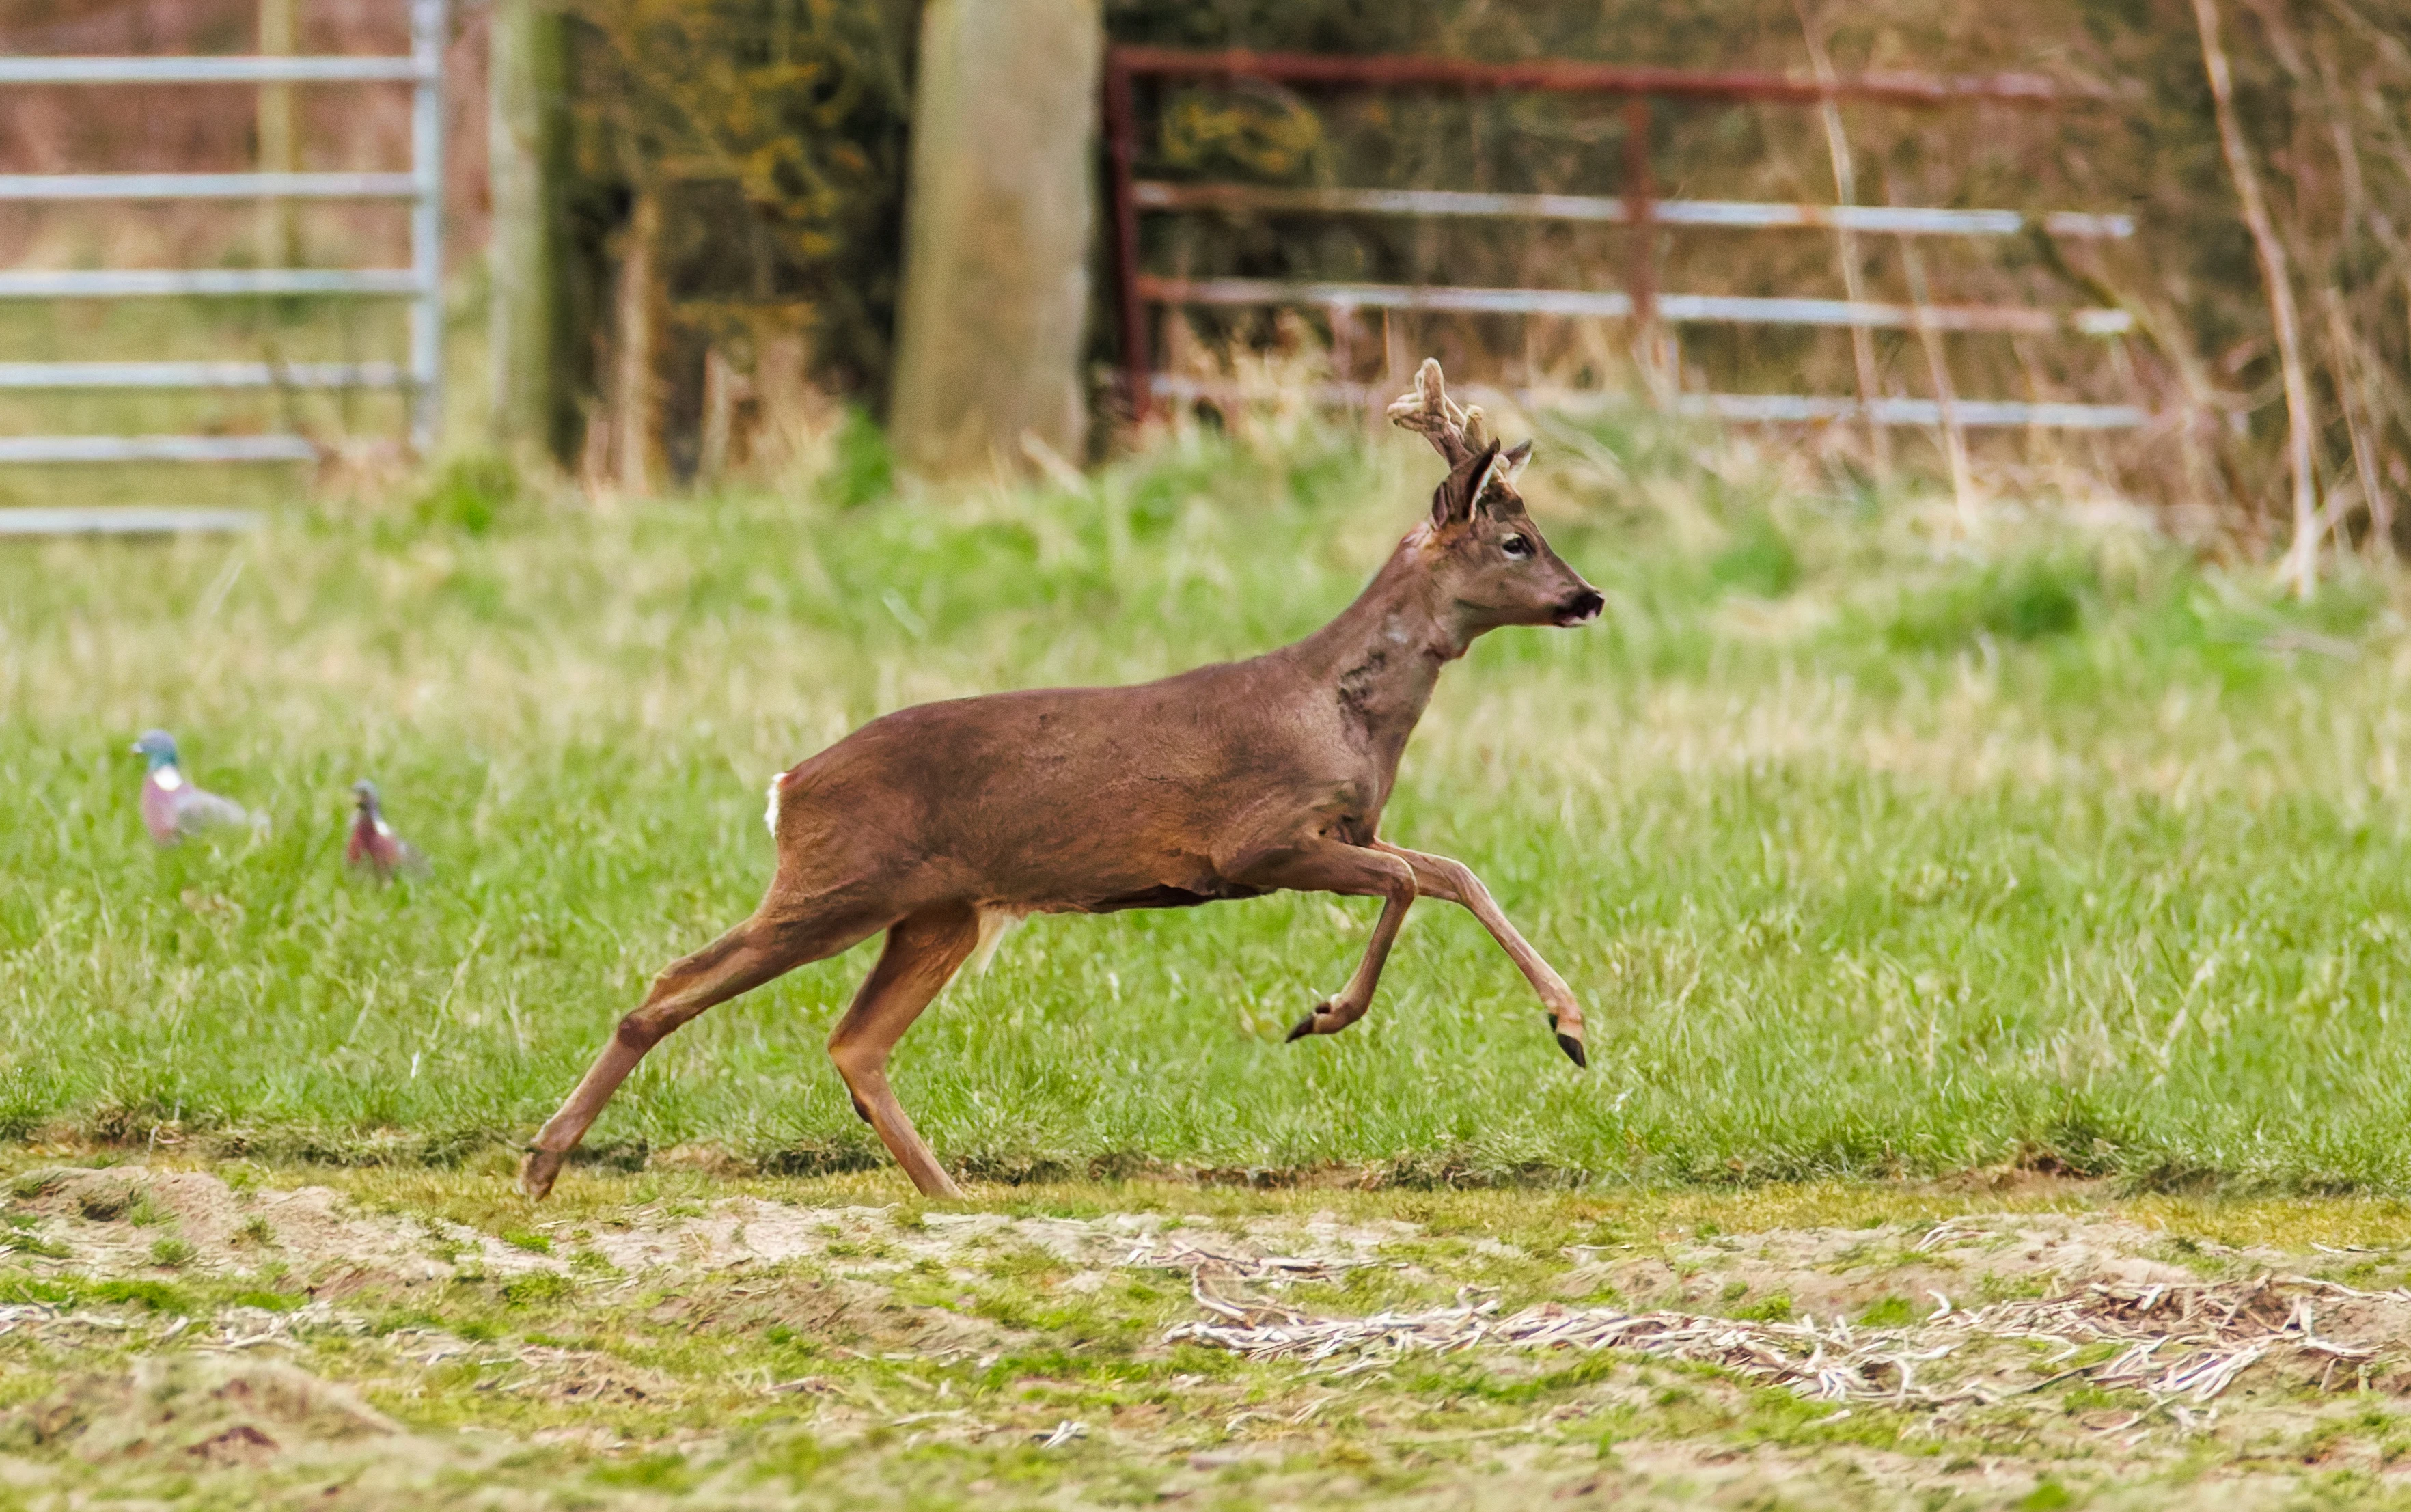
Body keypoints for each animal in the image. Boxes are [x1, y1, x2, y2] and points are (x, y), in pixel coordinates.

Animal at [519, 360, 1603, 1201]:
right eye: (1516, 540)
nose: (1588, 596)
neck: (1342, 714)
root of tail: (788, 786)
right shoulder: (1255, 841)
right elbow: (1414, 880)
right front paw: (1321, 1015)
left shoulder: (1352, 829)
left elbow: (1454, 872)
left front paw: (1571, 1026)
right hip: (837, 883)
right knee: (672, 986)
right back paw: (541, 1160)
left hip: (937, 911)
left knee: (855, 1041)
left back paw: (949, 1190)